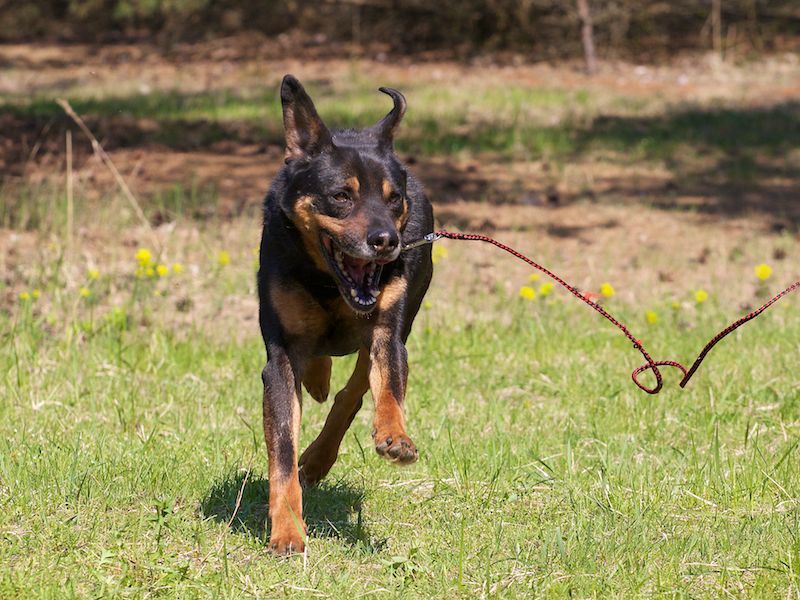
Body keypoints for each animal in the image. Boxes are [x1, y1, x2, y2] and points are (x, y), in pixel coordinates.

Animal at [257, 75, 434, 554]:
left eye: (395, 200)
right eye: (341, 195)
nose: (387, 241)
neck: (329, 284)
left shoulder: (389, 331)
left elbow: (386, 386)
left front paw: (396, 437)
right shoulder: (280, 356)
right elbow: (283, 450)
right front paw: (287, 532)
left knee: (352, 392)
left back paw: (321, 455)